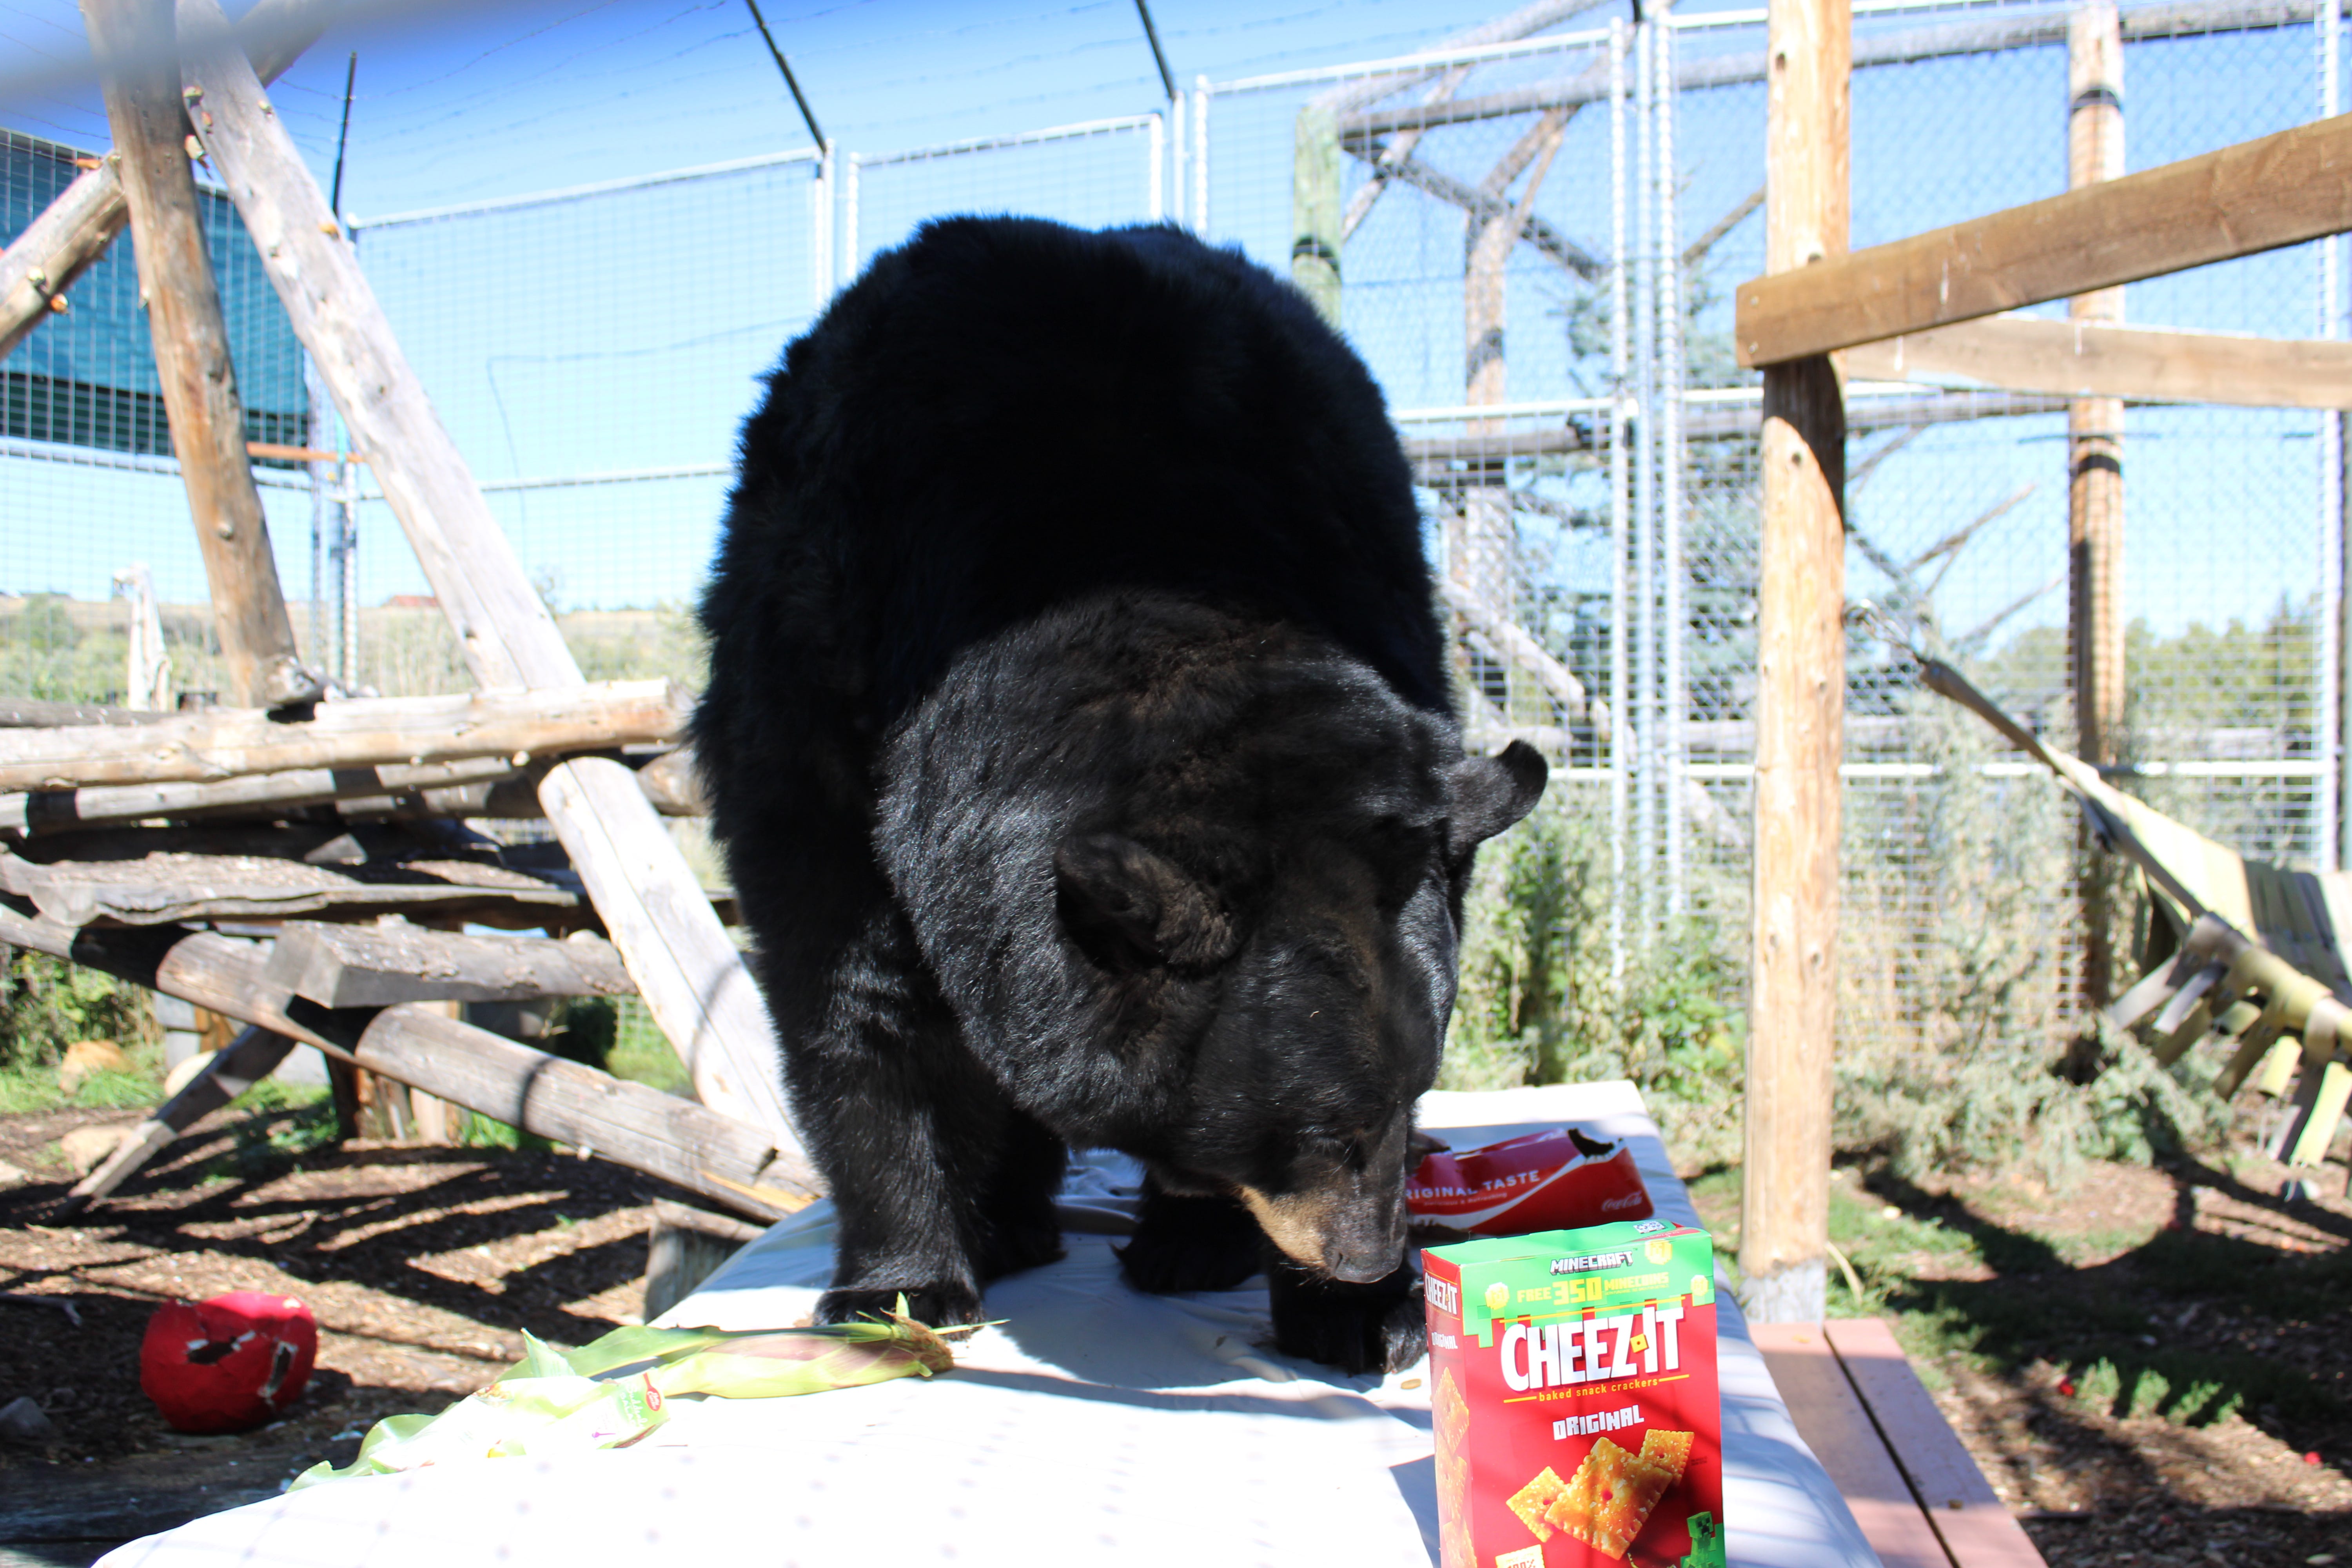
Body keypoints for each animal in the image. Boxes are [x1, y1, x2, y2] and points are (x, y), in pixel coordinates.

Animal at [693, 215, 1546, 1375]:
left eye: (1416, 1096)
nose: (1370, 1256)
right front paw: (898, 1288)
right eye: (1316, 1128)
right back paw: (1010, 1222)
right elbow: (851, 995)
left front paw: (1364, 1315)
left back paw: (1185, 1240)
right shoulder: (818, 696)